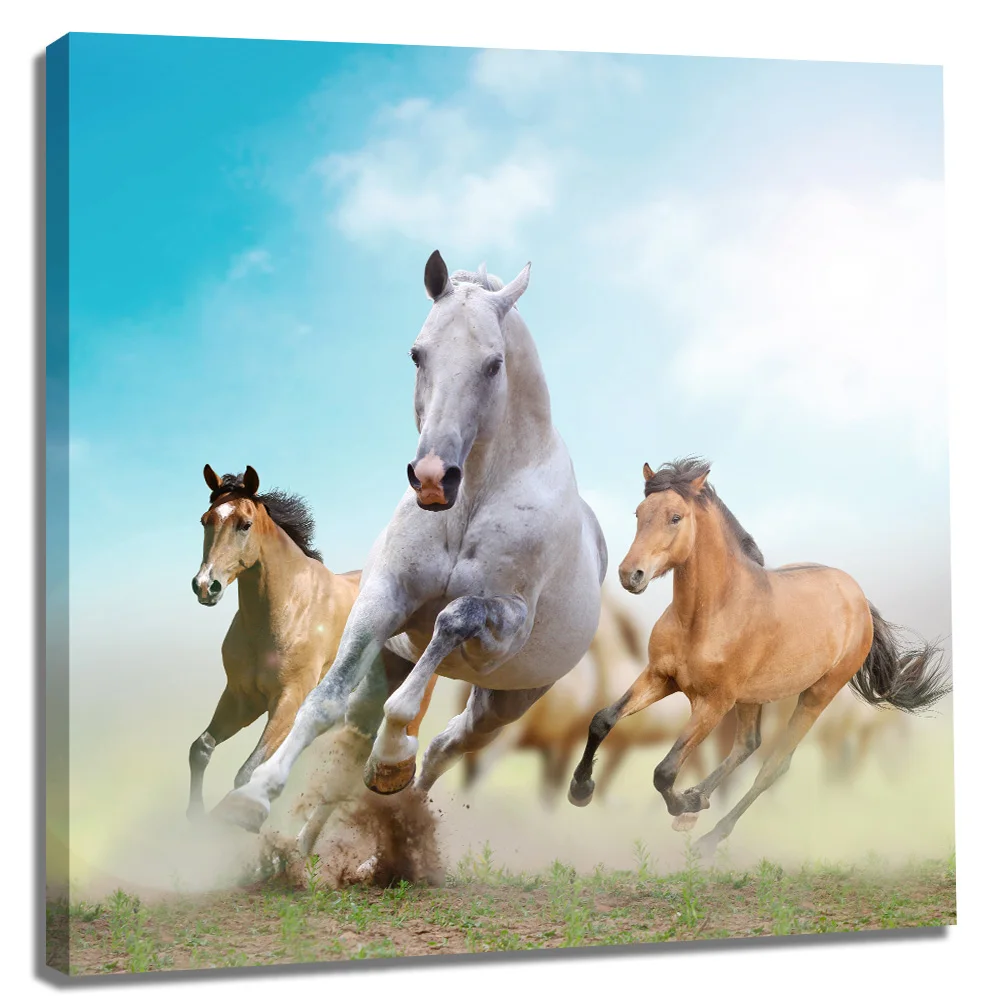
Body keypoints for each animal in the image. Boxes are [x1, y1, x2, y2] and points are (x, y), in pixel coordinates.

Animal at [189, 464, 437, 853]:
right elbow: (201, 748)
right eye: (205, 520)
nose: (205, 585)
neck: (288, 609)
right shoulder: (241, 699)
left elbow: (247, 771)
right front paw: (195, 822)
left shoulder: (288, 701)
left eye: (245, 524)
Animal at [211, 251, 607, 834]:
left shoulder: (502, 629)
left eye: (494, 364)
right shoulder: (384, 598)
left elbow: (453, 620)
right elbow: (323, 702)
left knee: (446, 745)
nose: (432, 478)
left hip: (504, 703)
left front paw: (394, 755)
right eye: (418, 355)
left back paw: (399, 798)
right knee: (357, 747)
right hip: (391, 666)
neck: (472, 501)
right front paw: (254, 796)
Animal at [568, 457, 950, 856]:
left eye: (675, 517)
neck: (707, 615)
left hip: (816, 695)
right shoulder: (660, 677)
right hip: (753, 696)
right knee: (748, 745)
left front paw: (682, 803)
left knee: (774, 765)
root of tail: (858, 599)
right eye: (639, 513)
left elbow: (665, 770)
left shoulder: (713, 702)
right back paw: (696, 804)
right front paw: (580, 790)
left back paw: (708, 835)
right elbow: (602, 720)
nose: (631, 574)